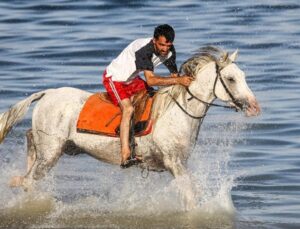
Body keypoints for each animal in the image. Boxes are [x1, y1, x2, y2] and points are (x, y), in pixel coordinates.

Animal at [0, 46, 260, 193]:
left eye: (243, 75)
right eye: (231, 78)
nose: (254, 107)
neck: (178, 113)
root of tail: (47, 93)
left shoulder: (178, 165)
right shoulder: (175, 164)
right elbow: (190, 198)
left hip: (63, 148)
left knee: (30, 144)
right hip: (51, 153)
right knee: (29, 178)